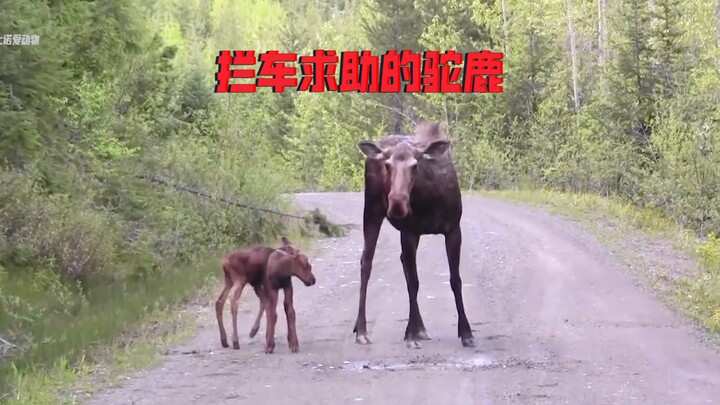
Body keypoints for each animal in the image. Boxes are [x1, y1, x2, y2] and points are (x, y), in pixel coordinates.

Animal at [352, 121, 476, 349]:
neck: (428, 201)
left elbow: (455, 280)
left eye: (415, 165)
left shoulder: (453, 229)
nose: (397, 203)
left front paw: (466, 332)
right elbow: (414, 283)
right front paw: (411, 333)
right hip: (371, 211)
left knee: (401, 263)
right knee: (367, 263)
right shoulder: (409, 231)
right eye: (387, 165)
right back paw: (362, 330)